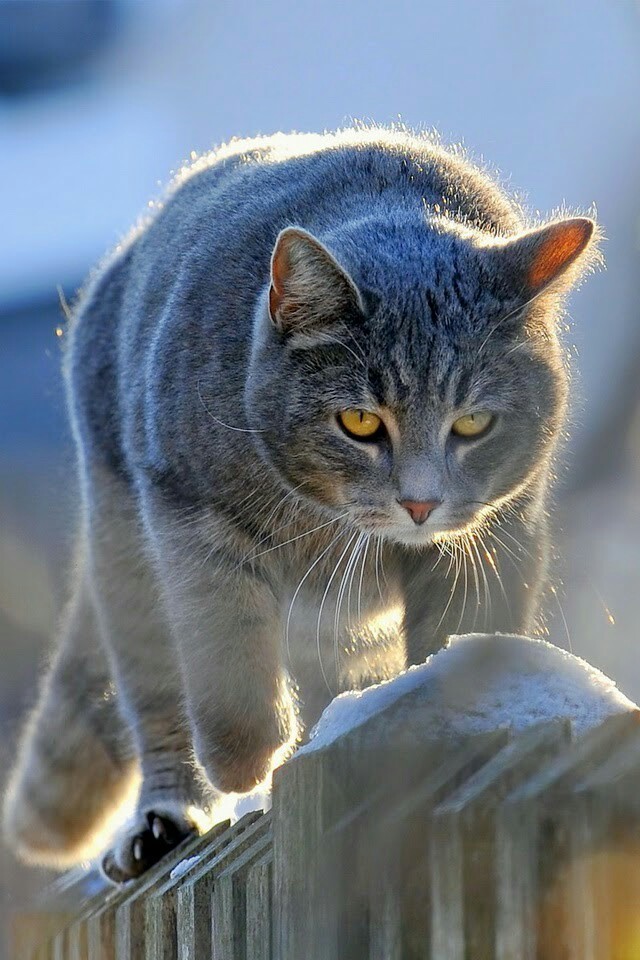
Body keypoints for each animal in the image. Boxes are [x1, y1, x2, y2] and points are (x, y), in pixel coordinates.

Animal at [2, 129, 596, 884]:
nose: (421, 502)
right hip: (124, 554)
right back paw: (166, 819)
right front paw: (245, 761)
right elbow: (226, 663)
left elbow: (459, 637)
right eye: (360, 421)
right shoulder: (190, 520)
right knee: (158, 697)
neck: (327, 525)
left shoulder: (494, 538)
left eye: (472, 423)